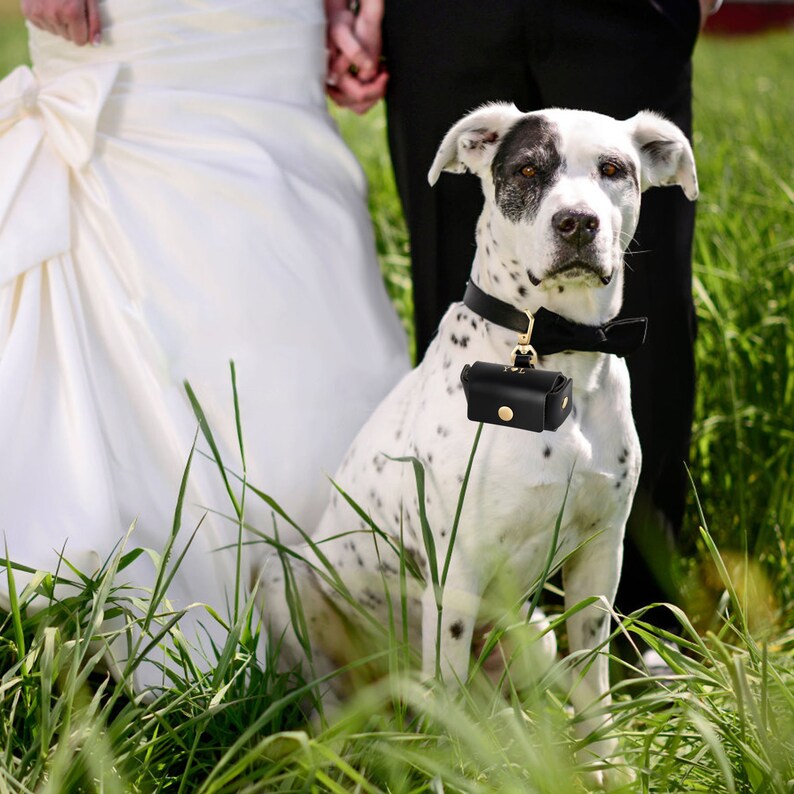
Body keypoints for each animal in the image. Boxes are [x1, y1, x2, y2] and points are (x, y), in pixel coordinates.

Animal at [260, 103, 692, 784]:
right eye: (527, 170)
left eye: (613, 169)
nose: (578, 222)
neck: (558, 353)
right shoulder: (456, 569)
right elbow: (447, 689)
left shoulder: (601, 553)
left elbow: (592, 676)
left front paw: (603, 765)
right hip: (286, 588)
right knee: (335, 696)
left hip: (533, 632)